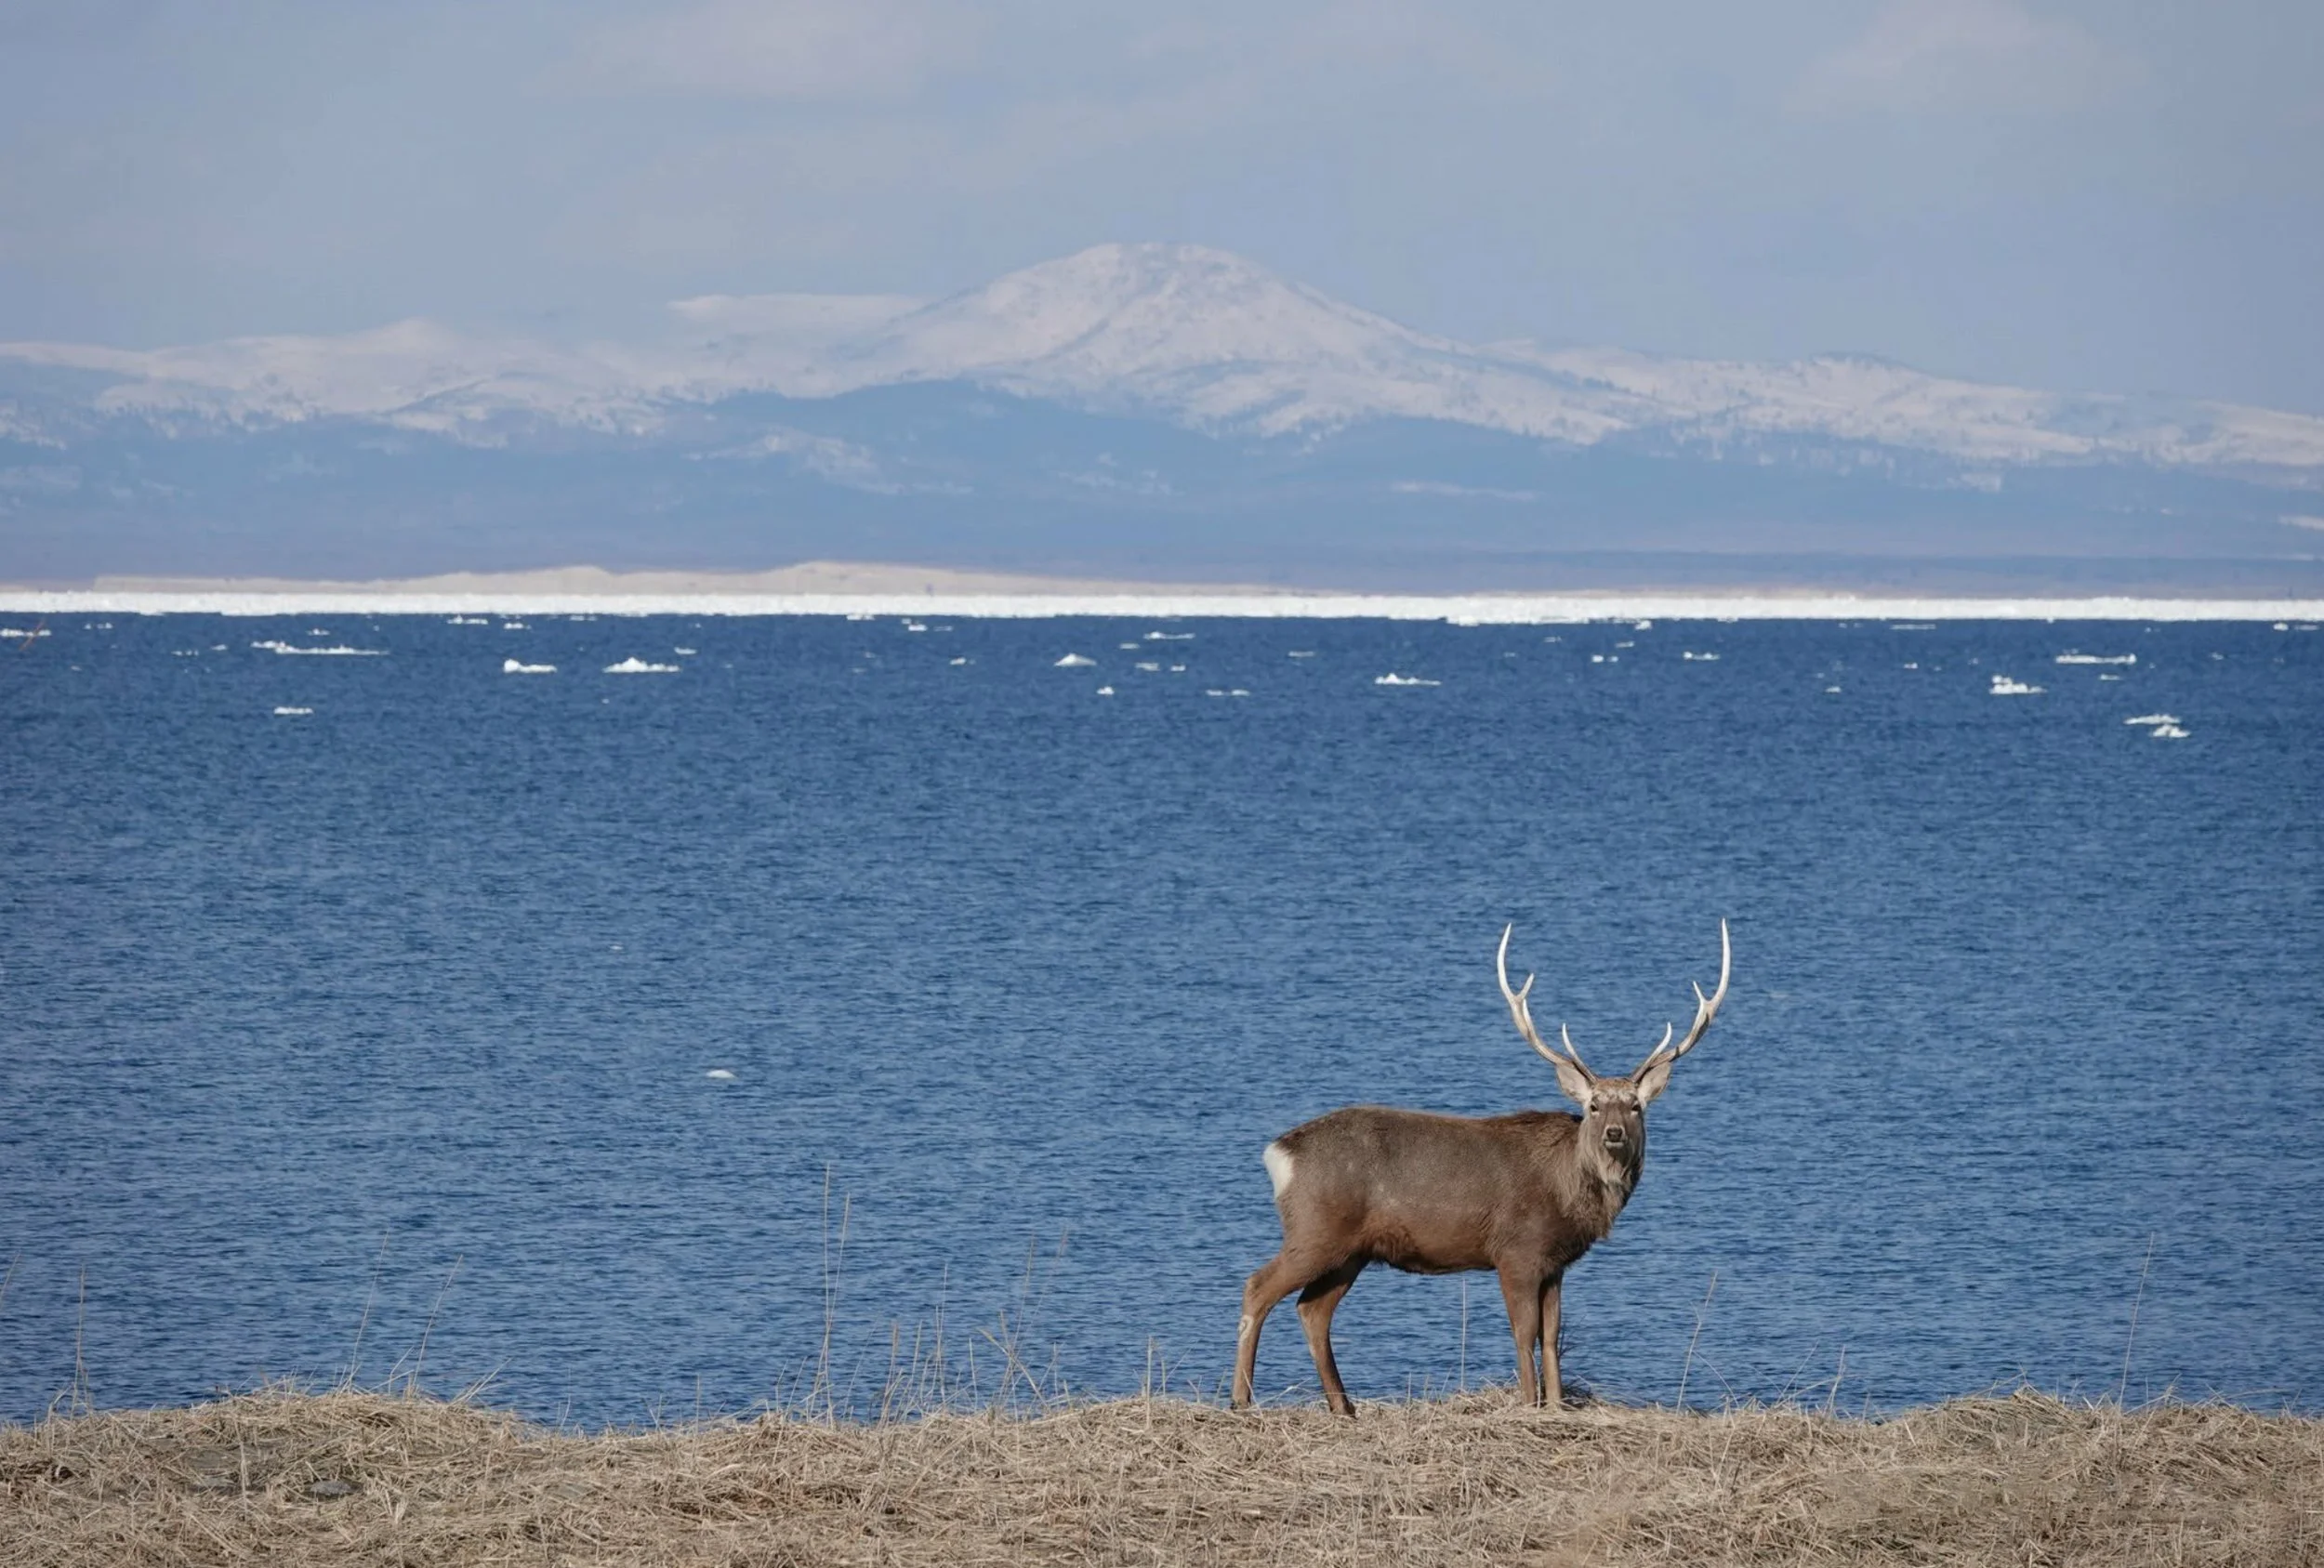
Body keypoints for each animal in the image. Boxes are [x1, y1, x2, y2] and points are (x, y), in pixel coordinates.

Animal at [1230, 920, 1730, 1415]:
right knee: (1258, 1286)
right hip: (1316, 1228)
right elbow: (1524, 1334)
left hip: (1351, 1250)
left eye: (1634, 1106)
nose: (1613, 1133)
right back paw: (1241, 1398)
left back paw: (1344, 1406)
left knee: (1313, 1310)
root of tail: (1278, 1153)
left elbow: (1552, 1337)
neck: (1568, 1190)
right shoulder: (1515, 1250)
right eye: (1592, 1106)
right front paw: (1528, 1403)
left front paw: (1555, 1405)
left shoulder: (1556, 1263)